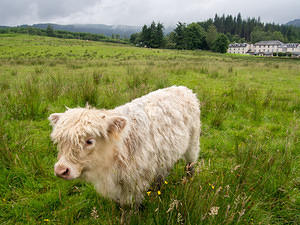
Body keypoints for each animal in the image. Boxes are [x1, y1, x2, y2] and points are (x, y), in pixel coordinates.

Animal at [49, 85, 200, 206]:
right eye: (60, 140)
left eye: (89, 141)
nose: (61, 170)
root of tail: (183, 89)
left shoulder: (135, 183)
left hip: (193, 143)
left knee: (190, 164)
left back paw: (189, 181)